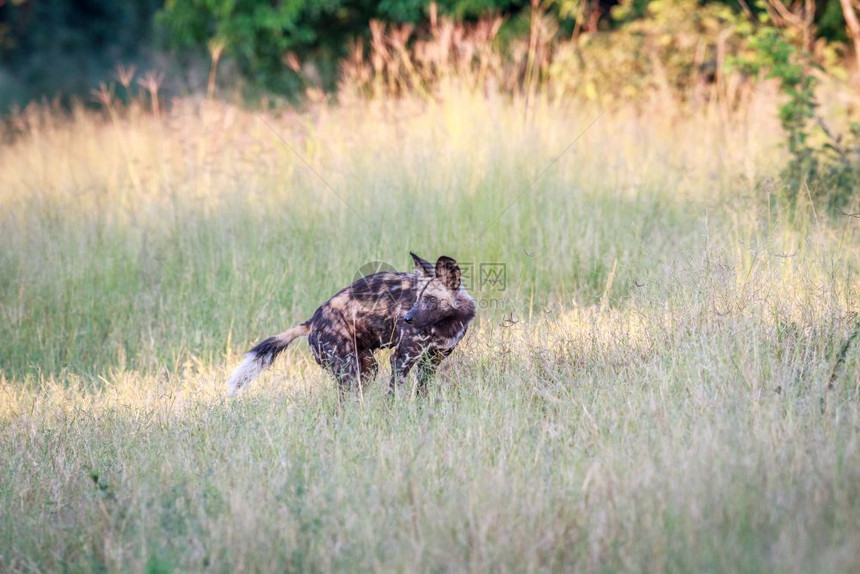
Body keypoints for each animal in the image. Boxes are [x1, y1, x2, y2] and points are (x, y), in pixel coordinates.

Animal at [228, 254, 478, 398]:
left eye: (430, 300)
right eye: (417, 299)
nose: (408, 318)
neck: (446, 324)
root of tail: (312, 321)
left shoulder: (431, 361)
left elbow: (421, 395)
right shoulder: (402, 359)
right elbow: (393, 395)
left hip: (366, 368)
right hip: (348, 369)